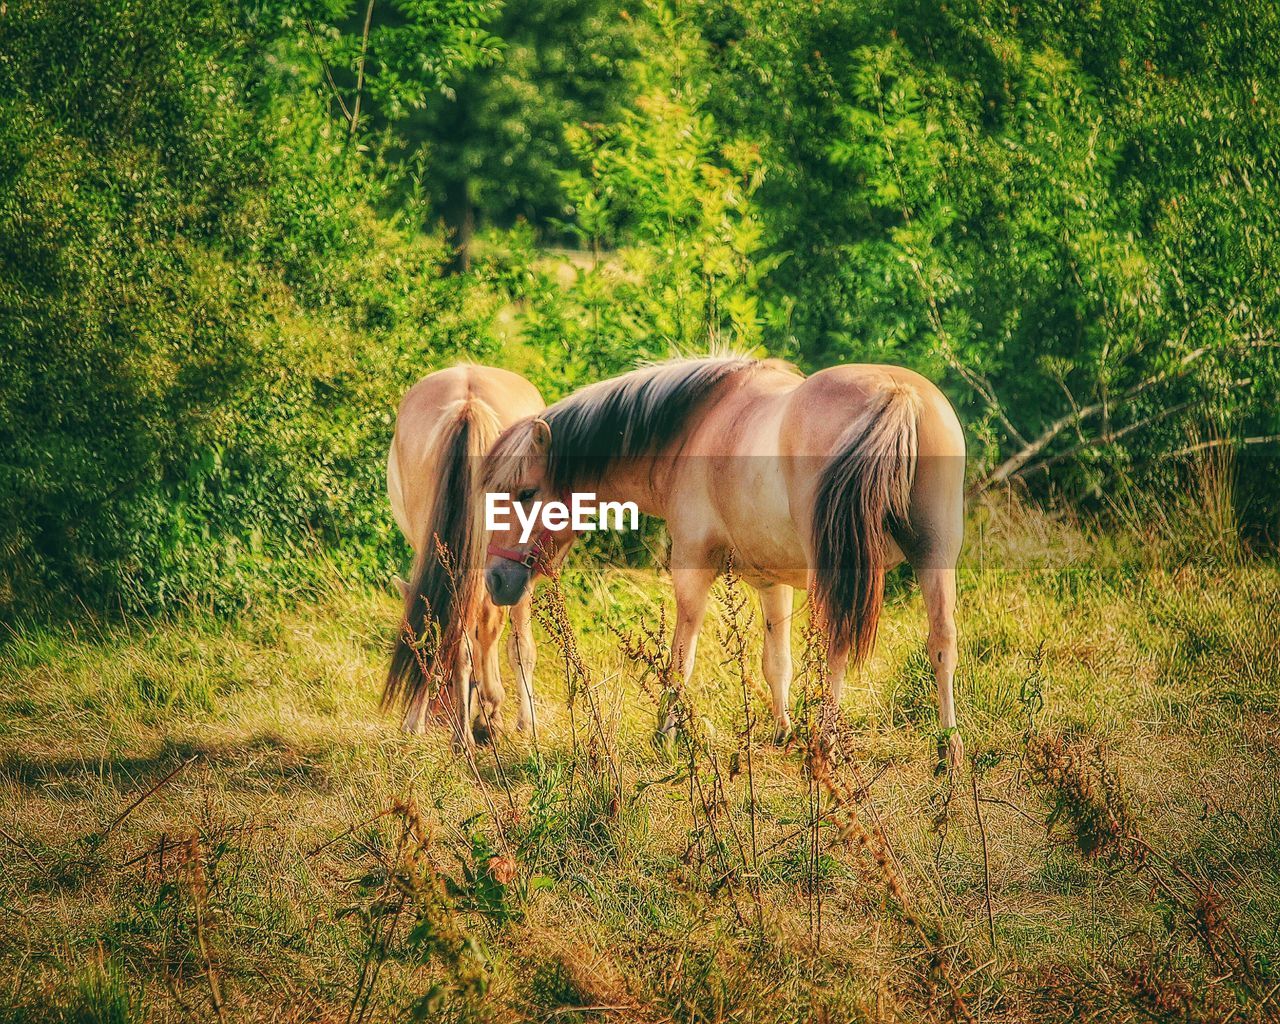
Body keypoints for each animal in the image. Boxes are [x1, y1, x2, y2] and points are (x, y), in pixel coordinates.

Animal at [483, 360, 962, 768]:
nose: (495, 579)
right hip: (935, 556)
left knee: (838, 648)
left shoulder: (692, 568)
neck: (696, 426)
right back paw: (948, 747)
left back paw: (826, 742)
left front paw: (666, 734)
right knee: (941, 642)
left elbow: (681, 659)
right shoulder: (772, 584)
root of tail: (896, 394)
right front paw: (783, 731)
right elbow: (777, 662)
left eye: (527, 493)